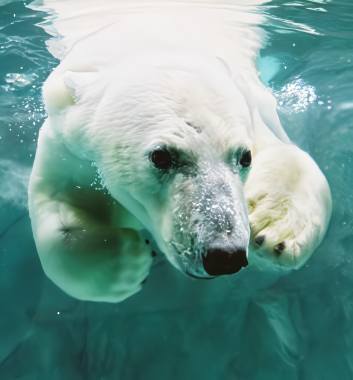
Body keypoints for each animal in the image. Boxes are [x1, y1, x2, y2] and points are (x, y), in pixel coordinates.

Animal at [27, 0, 330, 302]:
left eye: (245, 157)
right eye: (160, 156)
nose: (225, 256)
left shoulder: (253, 103)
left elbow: (289, 155)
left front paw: (276, 231)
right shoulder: (67, 146)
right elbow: (57, 205)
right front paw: (126, 261)